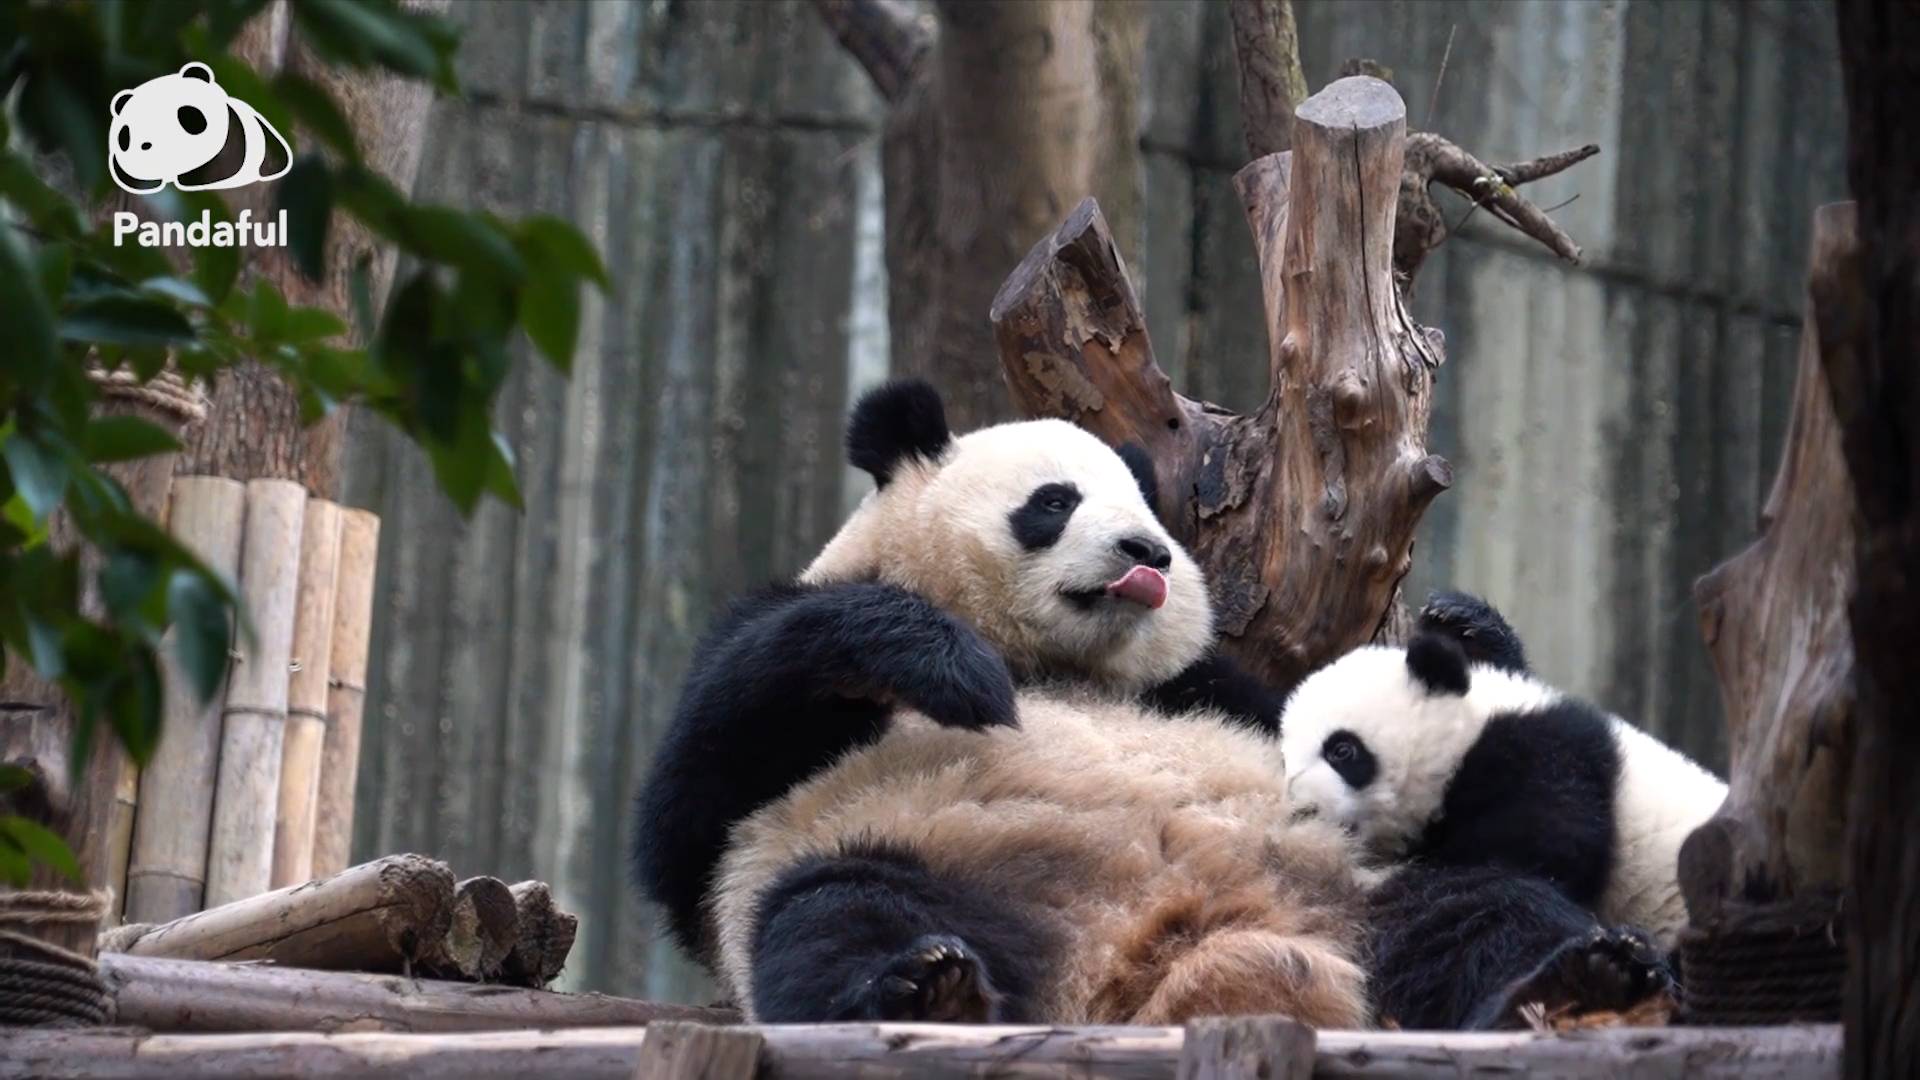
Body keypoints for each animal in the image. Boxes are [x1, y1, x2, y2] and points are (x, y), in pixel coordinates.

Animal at [632, 378, 1368, 1027]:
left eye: (1146, 509)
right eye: (1055, 501)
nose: (1148, 552)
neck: (1048, 662)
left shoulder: (1193, 684)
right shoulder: (754, 758)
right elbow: (688, 804)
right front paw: (956, 669)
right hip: (931, 860)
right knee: (831, 913)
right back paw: (927, 989)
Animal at [1280, 591, 1728, 954]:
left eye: (1342, 750)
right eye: (1285, 760)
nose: (1302, 809)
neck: (1469, 727)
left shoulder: (1547, 758)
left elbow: (1545, 850)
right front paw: (1461, 620)